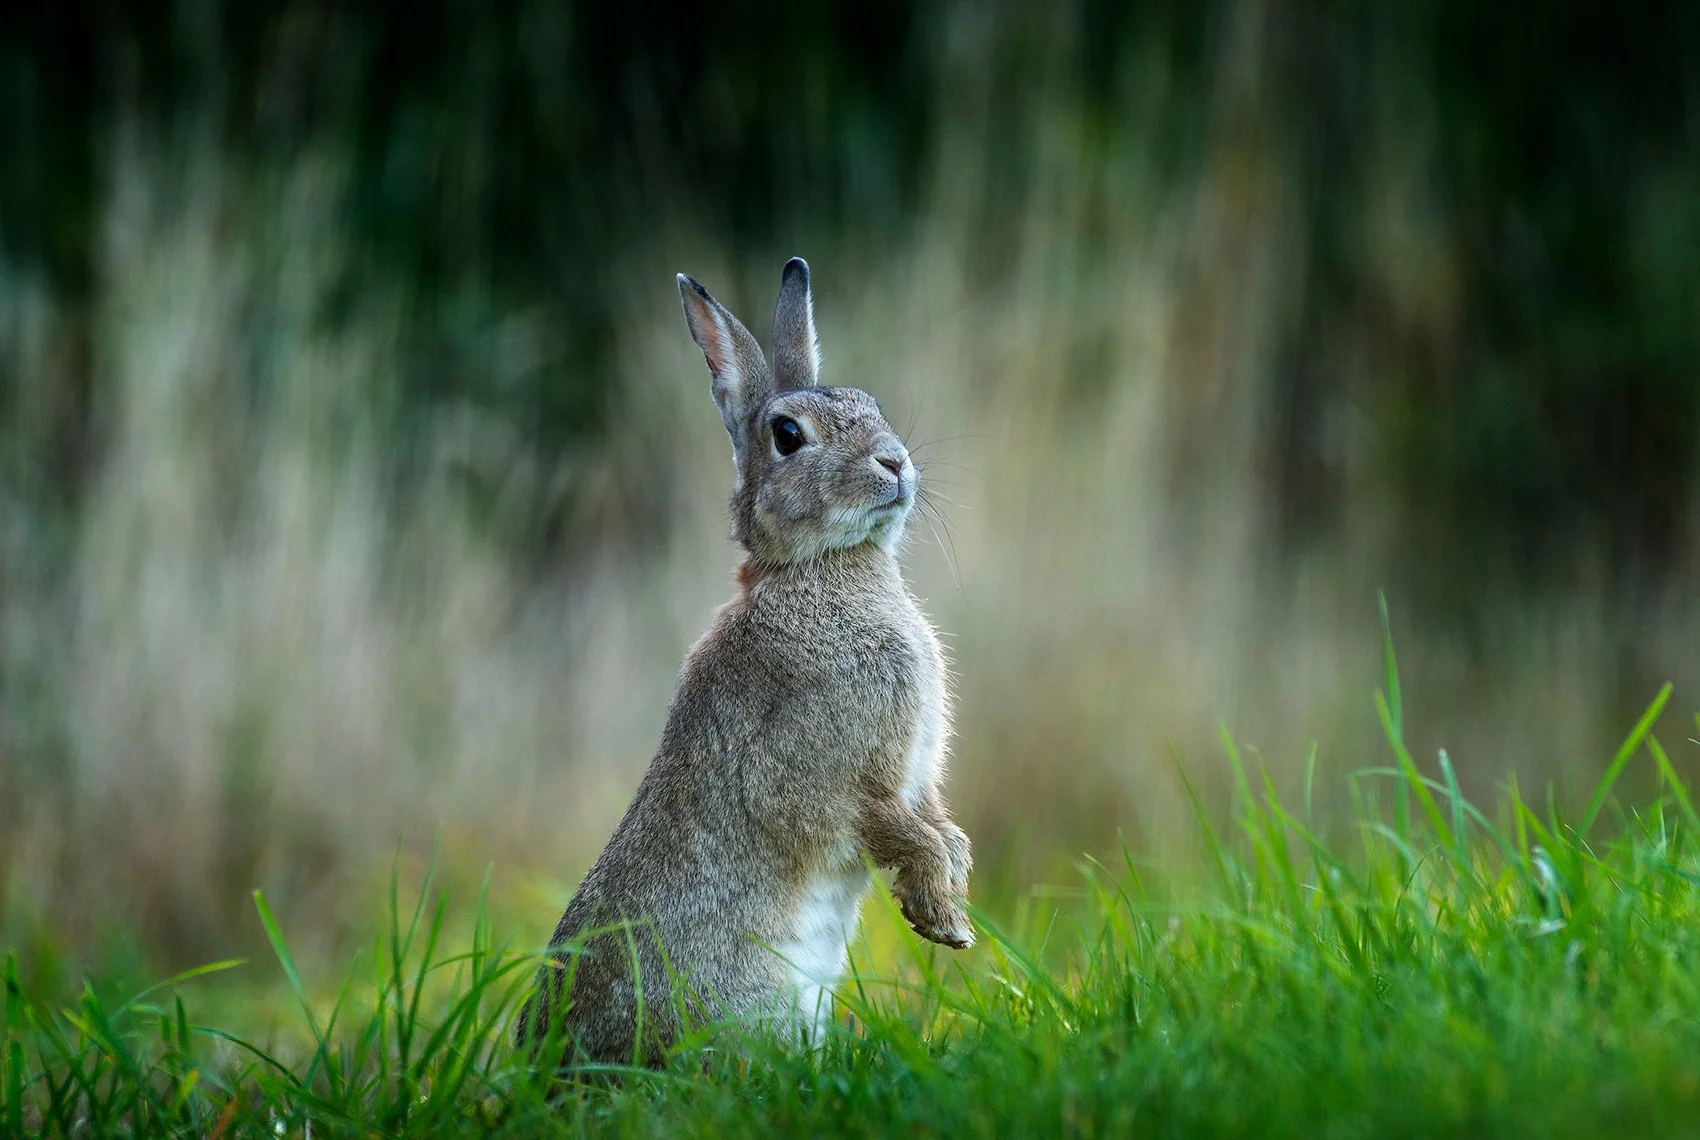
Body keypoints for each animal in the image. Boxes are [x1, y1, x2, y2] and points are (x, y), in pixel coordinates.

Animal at [515, 257, 973, 1067]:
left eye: (872, 404)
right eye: (788, 435)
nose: (895, 463)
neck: (818, 570)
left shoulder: (915, 773)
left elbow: (934, 821)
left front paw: (955, 884)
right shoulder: (833, 776)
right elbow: (890, 826)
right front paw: (944, 916)